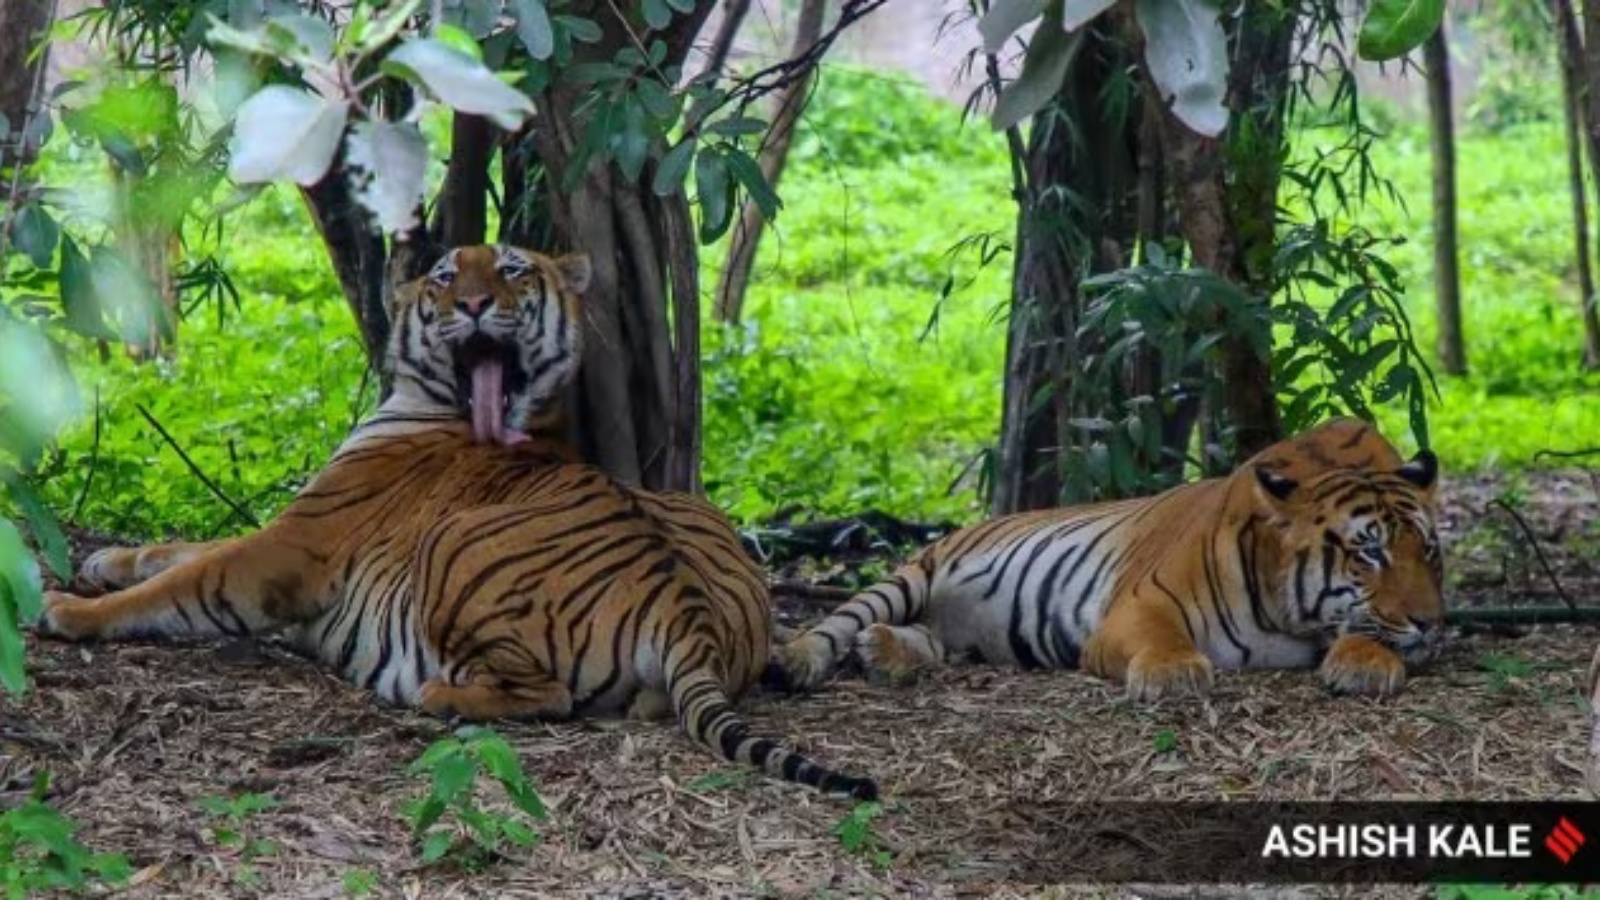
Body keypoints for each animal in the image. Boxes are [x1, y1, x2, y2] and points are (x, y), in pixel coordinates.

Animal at [35, 243, 877, 801]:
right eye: (445, 276)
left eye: (511, 270)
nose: (470, 304)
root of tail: (688, 609)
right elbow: (181, 548)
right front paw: (105, 561)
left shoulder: (292, 547)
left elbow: (186, 581)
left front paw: (68, 609)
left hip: (453, 547)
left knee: (546, 695)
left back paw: (439, 695)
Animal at [770, 418, 1445, 702]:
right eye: (1369, 551)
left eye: (1429, 552)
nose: (1432, 623)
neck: (1288, 619)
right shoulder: (1137, 607)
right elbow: (1162, 641)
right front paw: (1173, 675)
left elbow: (1367, 633)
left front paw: (1365, 664)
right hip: (912, 574)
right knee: (838, 621)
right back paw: (799, 661)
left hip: (963, 636)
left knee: (934, 642)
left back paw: (883, 652)